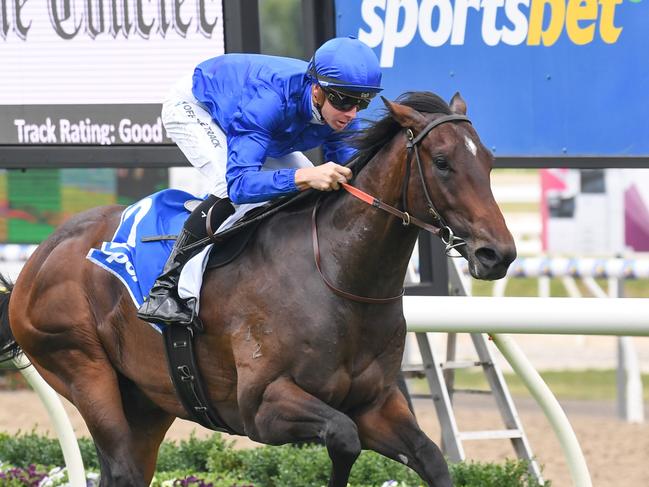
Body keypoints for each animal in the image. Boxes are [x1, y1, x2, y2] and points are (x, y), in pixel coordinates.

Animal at [0, 92, 516, 487]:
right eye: (443, 162)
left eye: (490, 162)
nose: (499, 254)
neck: (338, 276)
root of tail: (40, 256)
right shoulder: (263, 408)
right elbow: (343, 438)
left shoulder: (374, 403)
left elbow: (431, 459)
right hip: (81, 367)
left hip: (148, 399)